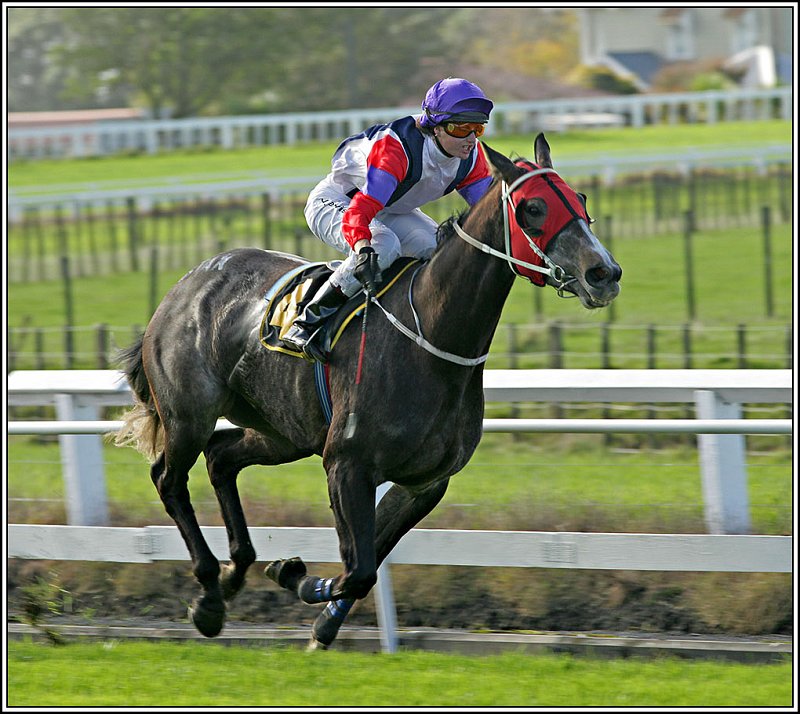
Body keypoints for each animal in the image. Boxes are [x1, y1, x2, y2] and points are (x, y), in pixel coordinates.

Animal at [115, 134, 620, 644]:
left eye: (580, 201)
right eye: (533, 208)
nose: (604, 273)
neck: (432, 339)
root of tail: (186, 285)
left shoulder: (425, 482)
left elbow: (367, 562)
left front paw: (317, 611)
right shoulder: (347, 463)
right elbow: (358, 569)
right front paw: (295, 578)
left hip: (284, 432)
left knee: (221, 457)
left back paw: (235, 572)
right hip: (189, 415)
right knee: (169, 479)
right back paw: (208, 595)